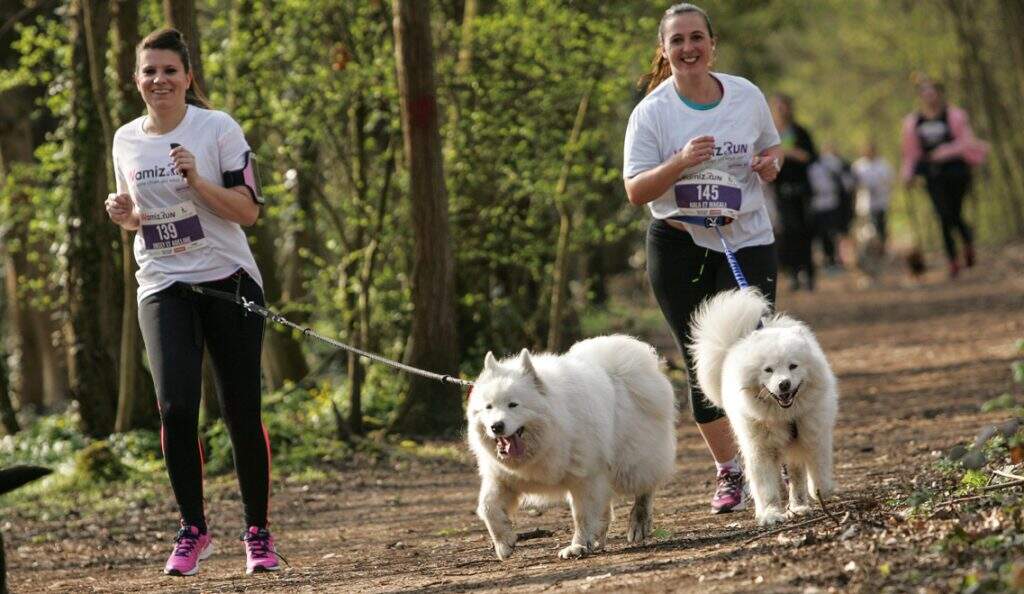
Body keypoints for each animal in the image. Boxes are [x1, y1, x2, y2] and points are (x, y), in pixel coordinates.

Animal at [466, 335, 675, 561]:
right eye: (488, 407)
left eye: (513, 405)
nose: (496, 427)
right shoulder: (502, 479)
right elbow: (487, 507)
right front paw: (504, 542)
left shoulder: (586, 479)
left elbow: (582, 516)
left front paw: (578, 545)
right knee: (606, 509)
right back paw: (599, 539)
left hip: (630, 465)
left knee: (645, 488)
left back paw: (638, 523)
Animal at [688, 290, 839, 528]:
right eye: (768, 370)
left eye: (793, 366)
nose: (784, 384)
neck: (785, 414)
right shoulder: (760, 449)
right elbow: (766, 487)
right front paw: (770, 514)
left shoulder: (814, 435)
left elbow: (818, 470)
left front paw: (820, 492)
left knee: (796, 476)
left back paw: (799, 506)